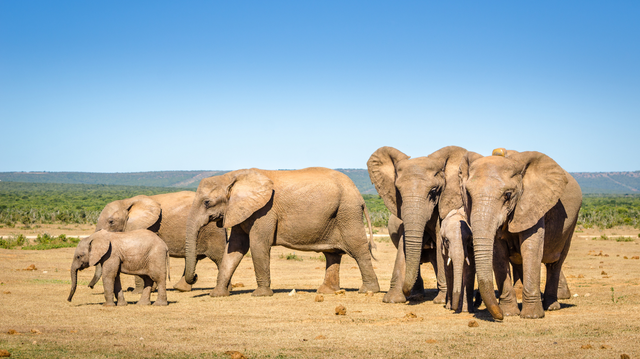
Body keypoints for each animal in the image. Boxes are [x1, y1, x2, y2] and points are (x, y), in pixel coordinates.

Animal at [90, 191, 228, 292]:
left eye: (111, 222)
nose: (90, 286)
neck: (126, 201)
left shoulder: (149, 227)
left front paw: (137, 292)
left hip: (213, 230)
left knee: (219, 257)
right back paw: (180, 288)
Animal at [182, 167, 378, 296]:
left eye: (207, 202)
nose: (195, 277)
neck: (230, 176)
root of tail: (359, 195)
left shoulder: (264, 211)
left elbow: (258, 245)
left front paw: (260, 294)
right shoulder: (240, 211)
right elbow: (235, 249)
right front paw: (217, 294)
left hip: (347, 212)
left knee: (358, 248)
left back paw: (368, 291)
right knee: (332, 253)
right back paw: (326, 292)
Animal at [368, 145, 472, 306]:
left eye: (434, 191)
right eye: (398, 191)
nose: (406, 292)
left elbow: (439, 241)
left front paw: (440, 301)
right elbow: (403, 243)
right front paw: (392, 299)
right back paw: (417, 296)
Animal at [458, 149, 584, 320]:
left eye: (508, 195)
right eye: (469, 194)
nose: (499, 316)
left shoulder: (533, 202)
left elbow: (530, 248)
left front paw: (532, 316)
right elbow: (498, 253)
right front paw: (509, 313)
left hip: (571, 223)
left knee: (555, 263)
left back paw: (551, 306)